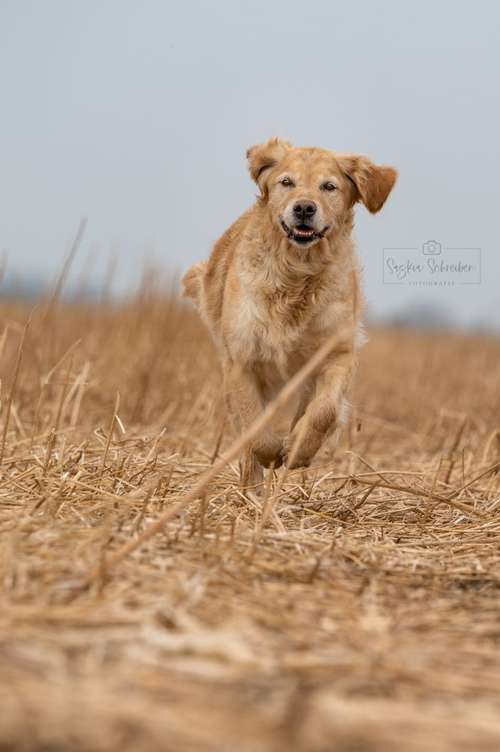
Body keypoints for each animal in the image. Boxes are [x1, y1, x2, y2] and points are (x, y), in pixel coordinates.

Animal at [182, 138, 396, 484]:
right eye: (287, 182)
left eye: (329, 186)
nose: (304, 208)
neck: (297, 272)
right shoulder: (241, 360)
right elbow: (254, 428)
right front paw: (271, 453)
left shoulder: (337, 352)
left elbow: (325, 411)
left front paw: (297, 448)